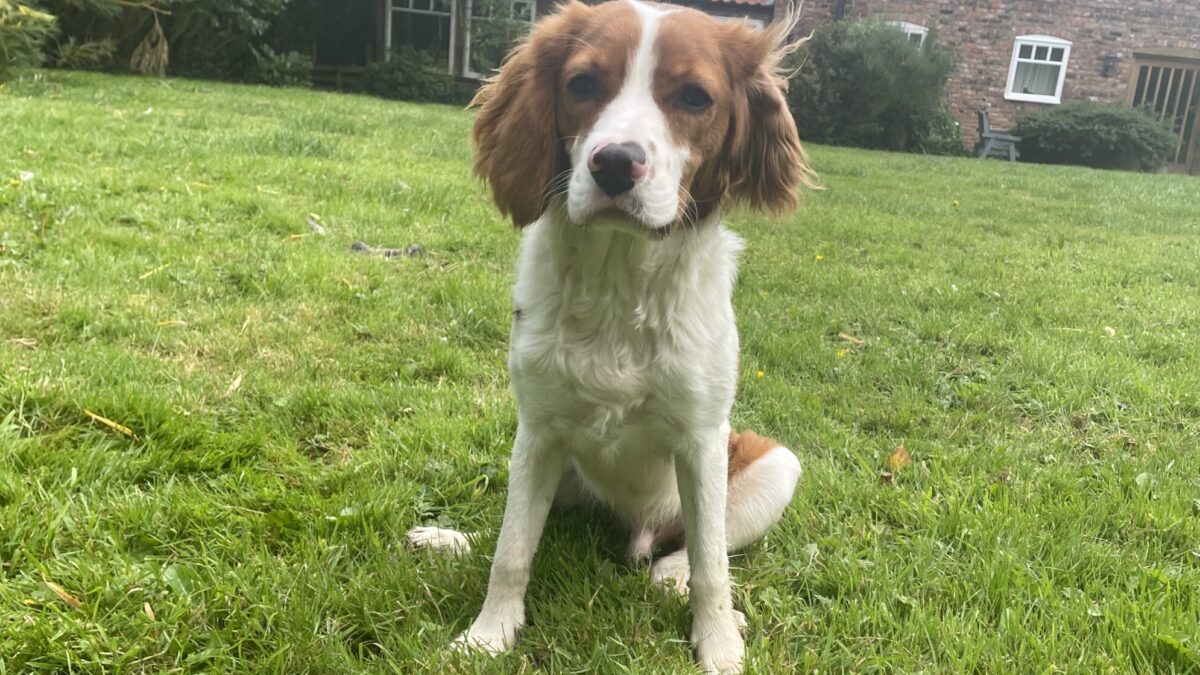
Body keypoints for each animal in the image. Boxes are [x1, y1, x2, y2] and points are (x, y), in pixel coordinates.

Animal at [408, 2, 820, 667]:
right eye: (582, 84)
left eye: (694, 96)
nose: (615, 163)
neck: (619, 282)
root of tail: (636, 531)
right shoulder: (539, 430)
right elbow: (513, 547)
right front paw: (488, 635)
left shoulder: (703, 440)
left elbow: (712, 565)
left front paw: (720, 645)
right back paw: (452, 538)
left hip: (776, 465)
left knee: (694, 549)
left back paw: (672, 575)